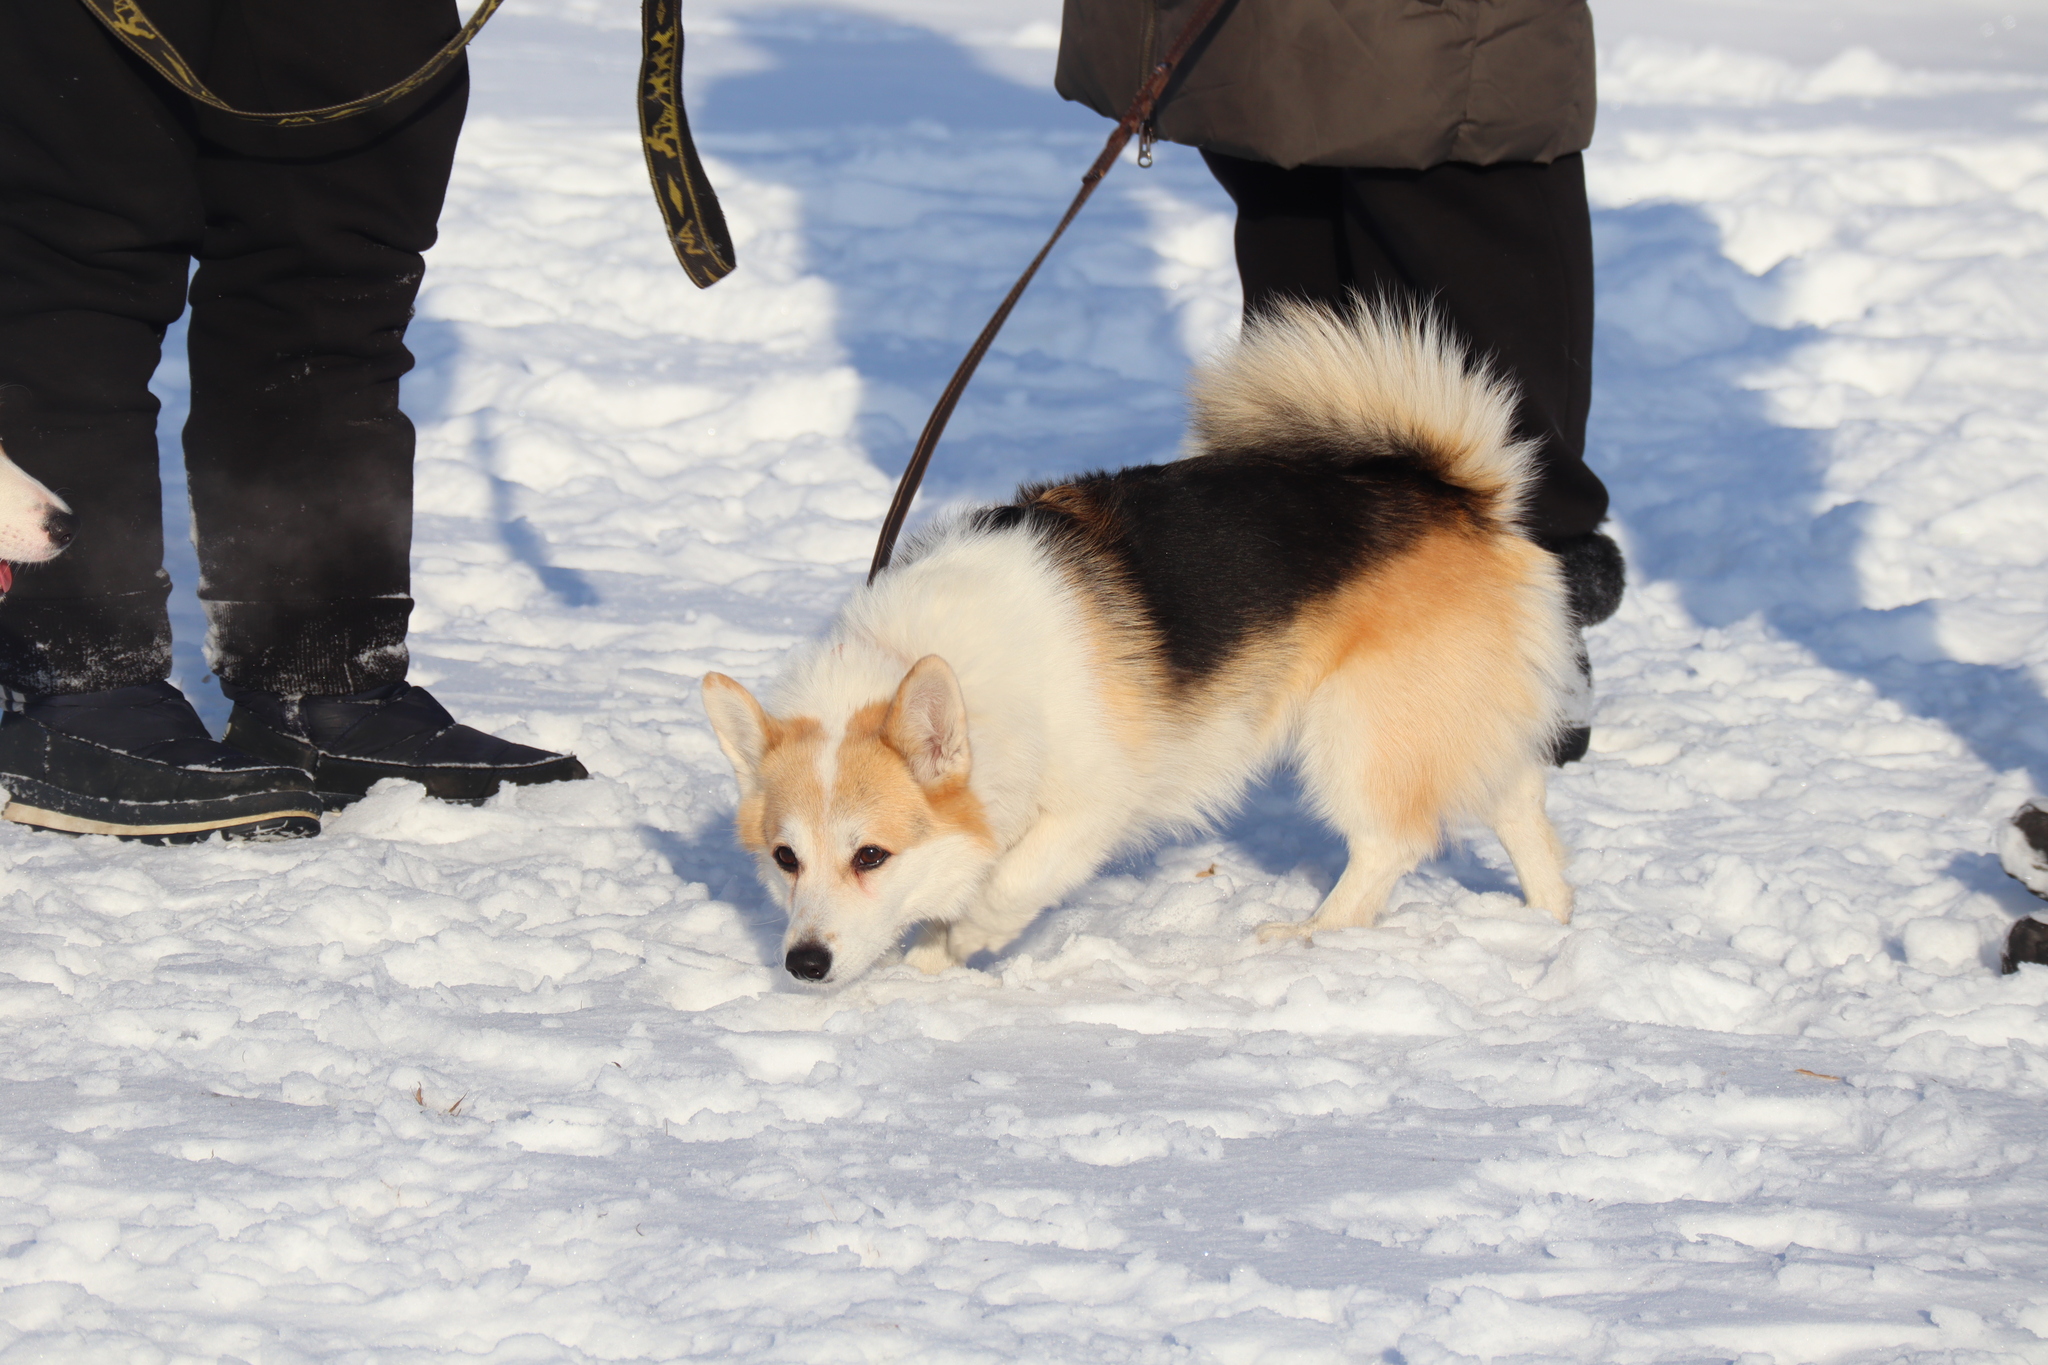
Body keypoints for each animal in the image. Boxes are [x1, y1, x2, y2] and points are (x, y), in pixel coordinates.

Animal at [712, 300, 1572, 982]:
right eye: (786, 858)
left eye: (870, 856)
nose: (803, 963)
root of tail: (1457, 494)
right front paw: (929, 957)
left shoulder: (1091, 807)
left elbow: (1007, 882)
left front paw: (964, 939)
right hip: (1454, 716)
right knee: (1520, 802)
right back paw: (1550, 918)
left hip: (1357, 733)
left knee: (1393, 841)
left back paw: (1310, 932)